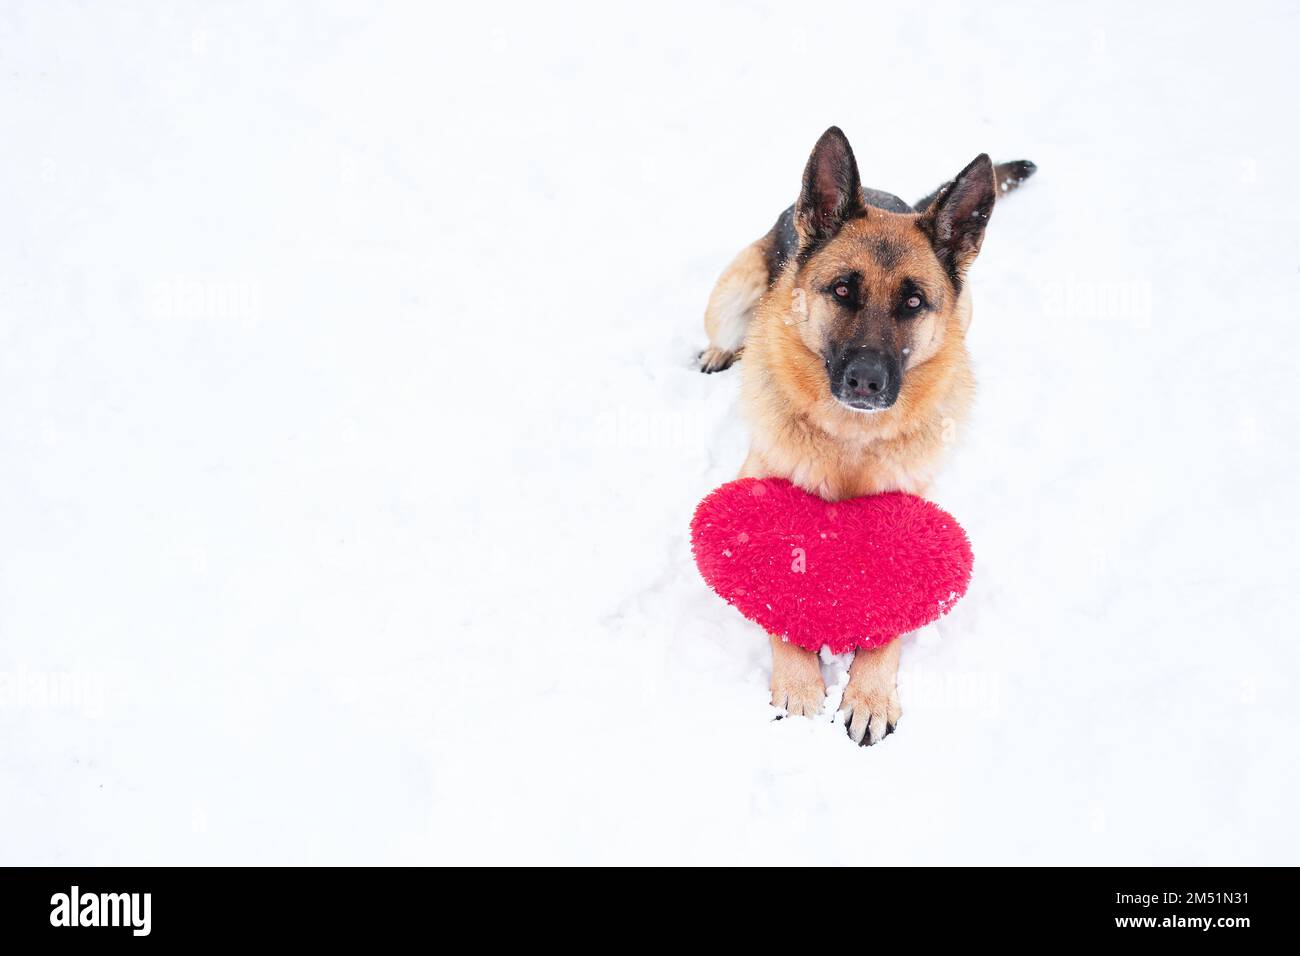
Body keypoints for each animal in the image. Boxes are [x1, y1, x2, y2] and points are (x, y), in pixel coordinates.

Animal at [702, 125, 1034, 749]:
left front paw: (870, 694)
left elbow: (889, 623)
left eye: (913, 302)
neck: (848, 444)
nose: (866, 380)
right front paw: (801, 685)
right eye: (841, 291)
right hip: (730, 297)